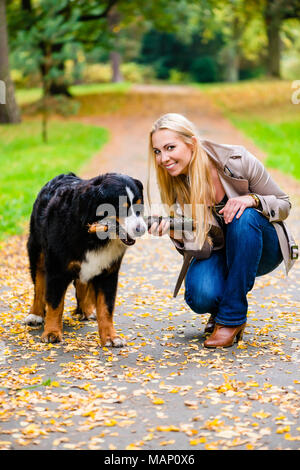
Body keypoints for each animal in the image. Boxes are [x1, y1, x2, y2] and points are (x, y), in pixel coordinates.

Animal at [25, 171, 147, 346]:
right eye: (120, 208)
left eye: (139, 206)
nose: (141, 229)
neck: (95, 237)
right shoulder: (56, 269)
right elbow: (55, 303)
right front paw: (52, 332)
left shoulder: (108, 273)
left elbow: (106, 307)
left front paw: (110, 337)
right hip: (37, 253)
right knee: (39, 285)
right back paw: (35, 314)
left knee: (82, 284)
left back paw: (86, 311)